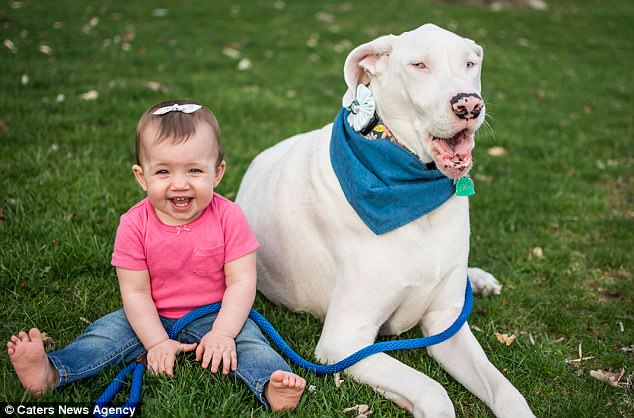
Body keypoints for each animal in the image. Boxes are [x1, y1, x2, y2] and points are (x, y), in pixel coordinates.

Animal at [237, 23, 532, 418]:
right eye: (419, 65)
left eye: (470, 63)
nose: (469, 104)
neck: (412, 191)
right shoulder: (344, 343)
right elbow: (433, 390)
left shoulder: (446, 324)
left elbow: (505, 390)